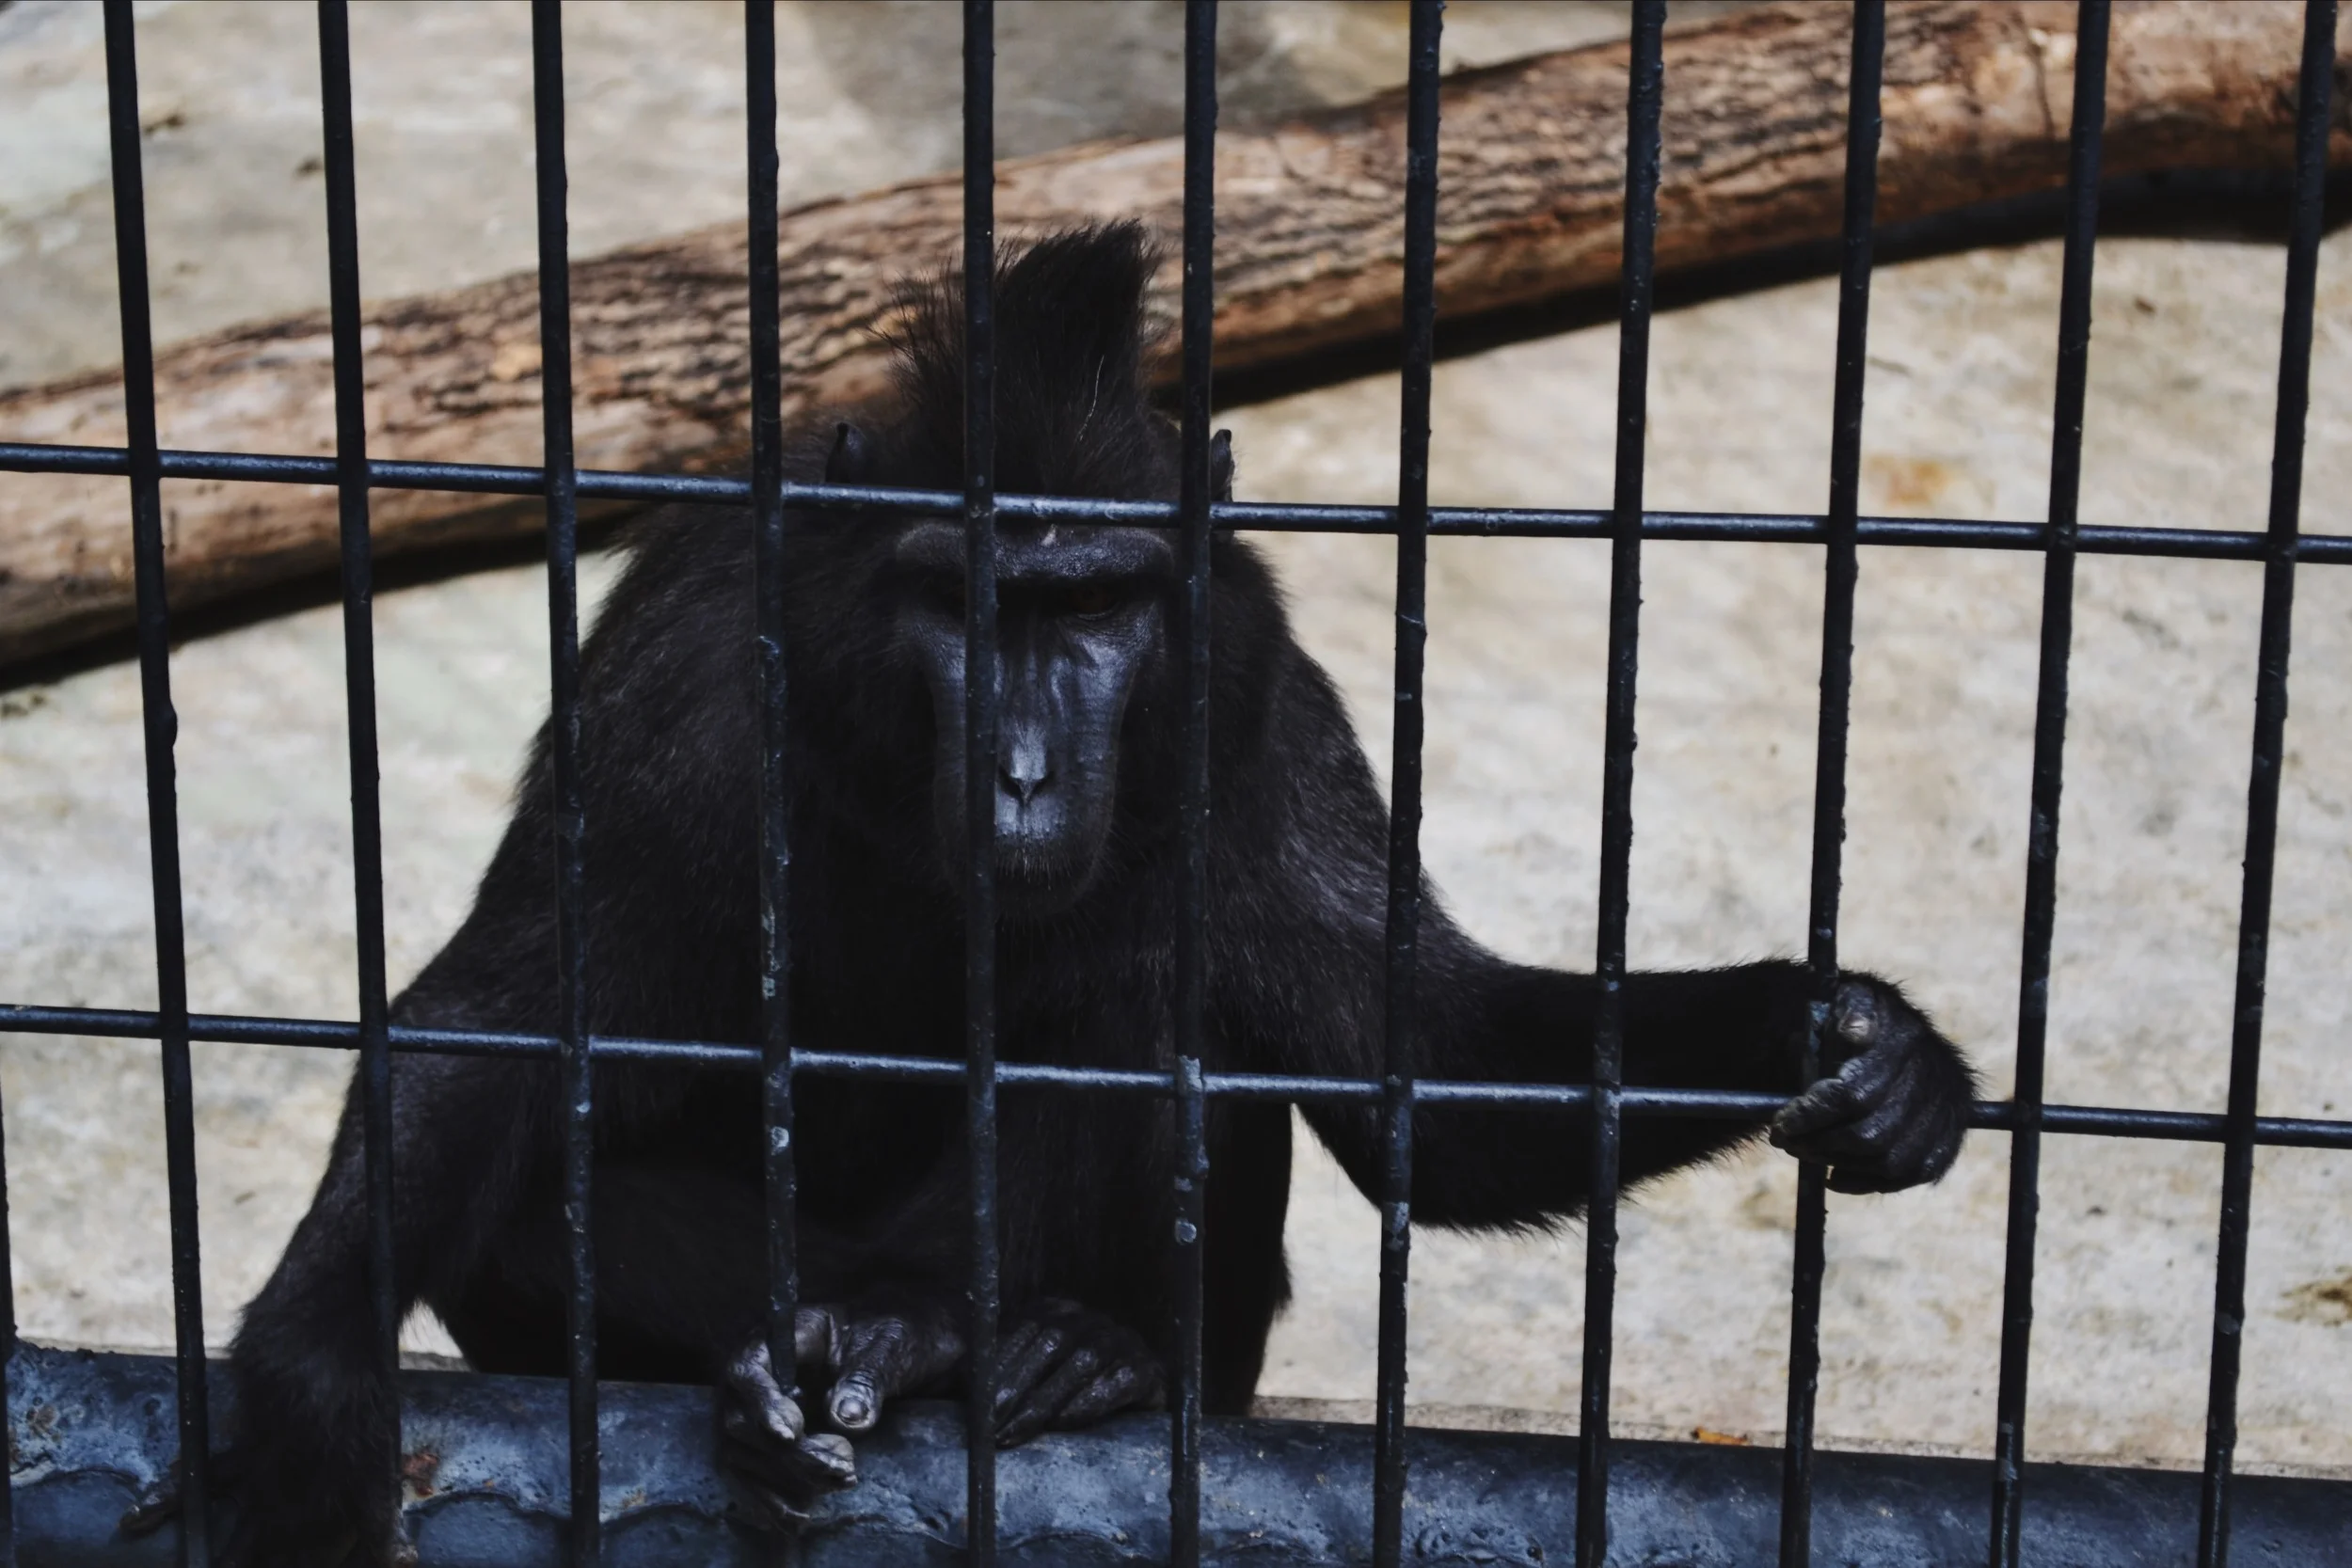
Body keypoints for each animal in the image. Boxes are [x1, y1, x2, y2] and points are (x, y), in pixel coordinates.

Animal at [190, 224, 1974, 1563]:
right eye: (964, 604)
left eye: (1100, 601)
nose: (1027, 771)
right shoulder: (686, 680)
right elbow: (508, 1013)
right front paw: (308, 1360)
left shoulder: (1252, 695)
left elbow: (1414, 1059)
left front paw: (1854, 1040)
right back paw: (849, 1355)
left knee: (1139, 999)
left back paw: (1050, 1350)